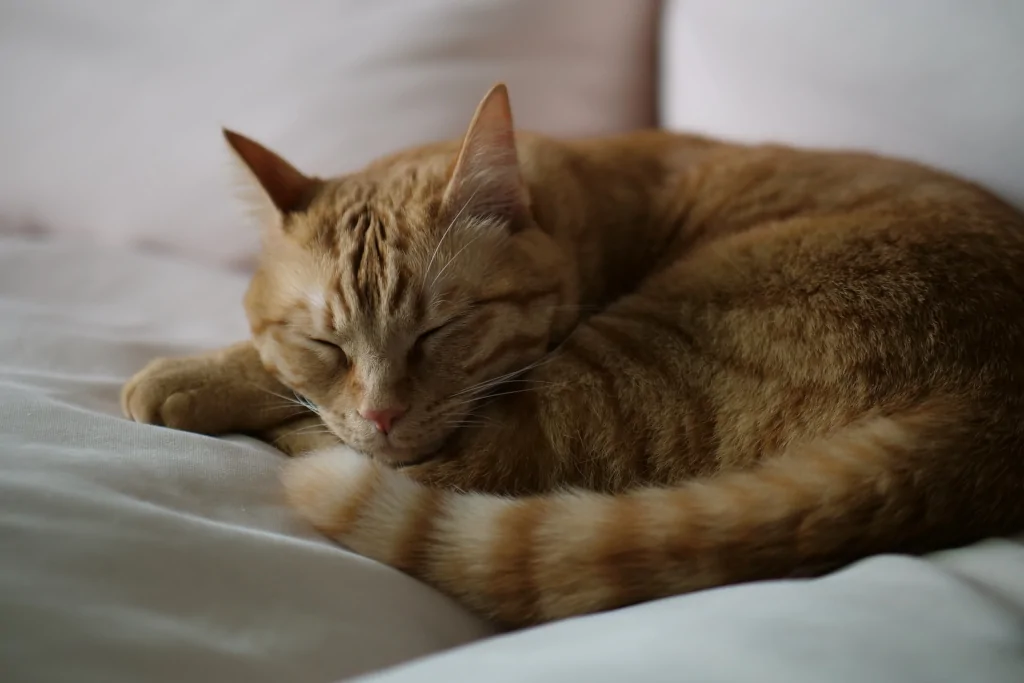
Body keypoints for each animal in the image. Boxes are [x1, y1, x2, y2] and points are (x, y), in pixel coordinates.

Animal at [123, 83, 1024, 626]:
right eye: (325, 341)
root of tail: (990, 417)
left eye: (439, 331)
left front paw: (187, 375)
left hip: (632, 354)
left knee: (467, 468)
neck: (572, 204)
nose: (381, 412)